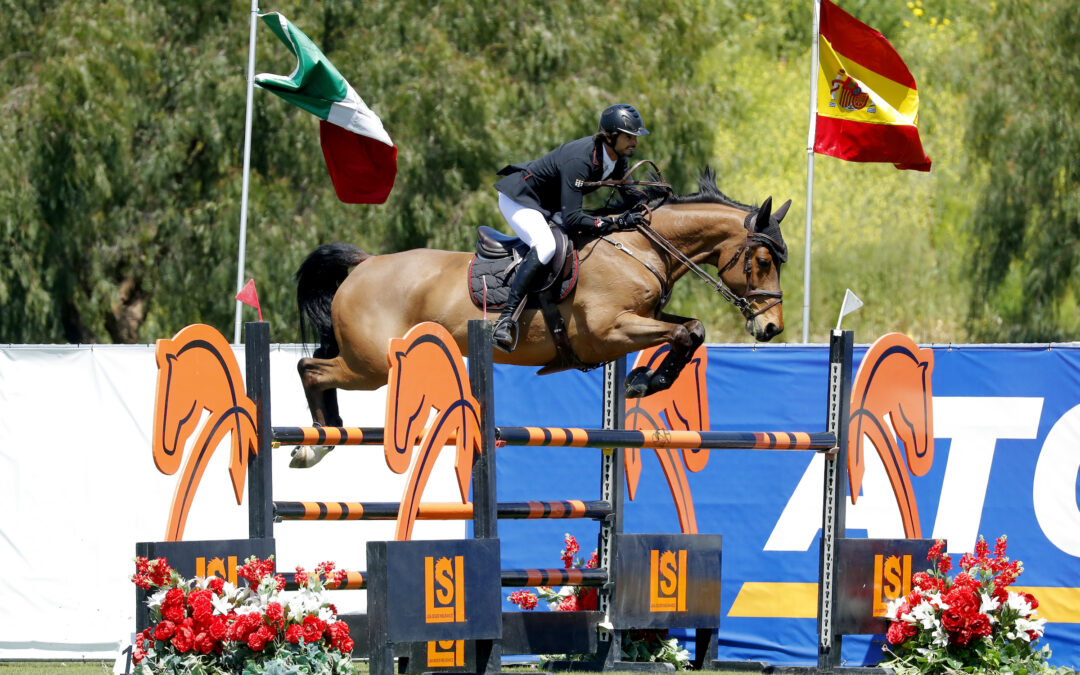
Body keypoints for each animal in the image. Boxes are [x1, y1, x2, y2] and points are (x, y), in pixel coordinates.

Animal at [291, 170, 790, 436]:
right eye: (764, 261)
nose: (772, 329)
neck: (640, 247)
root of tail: (365, 263)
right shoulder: (609, 331)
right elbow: (684, 332)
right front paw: (642, 382)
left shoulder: (641, 319)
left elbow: (693, 329)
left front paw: (645, 381)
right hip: (373, 365)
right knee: (310, 368)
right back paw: (315, 442)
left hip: (366, 359)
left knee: (317, 364)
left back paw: (326, 432)